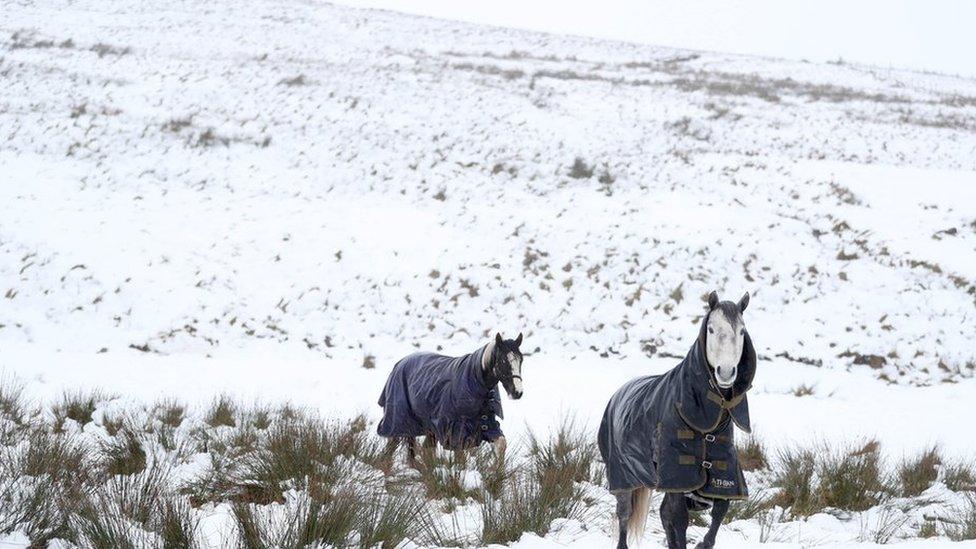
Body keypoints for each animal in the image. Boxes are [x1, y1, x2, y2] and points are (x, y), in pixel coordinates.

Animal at [376, 332, 528, 460]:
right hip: (399, 423)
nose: (517, 392)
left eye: (521, 360)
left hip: (429, 428)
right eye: (503, 361)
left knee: (425, 450)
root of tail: (399, 364)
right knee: (391, 448)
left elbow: (501, 445)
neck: (474, 380)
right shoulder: (457, 432)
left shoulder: (488, 425)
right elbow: (461, 462)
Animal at [604, 288, 756, 544]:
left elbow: (719, 512)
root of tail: (618, 394)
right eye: (711, 329)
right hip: (624, 478)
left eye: (742, 331)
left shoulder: (723, 474)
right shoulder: (676, 476)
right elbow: (679, 519)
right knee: (625, 515)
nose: (726, 373)